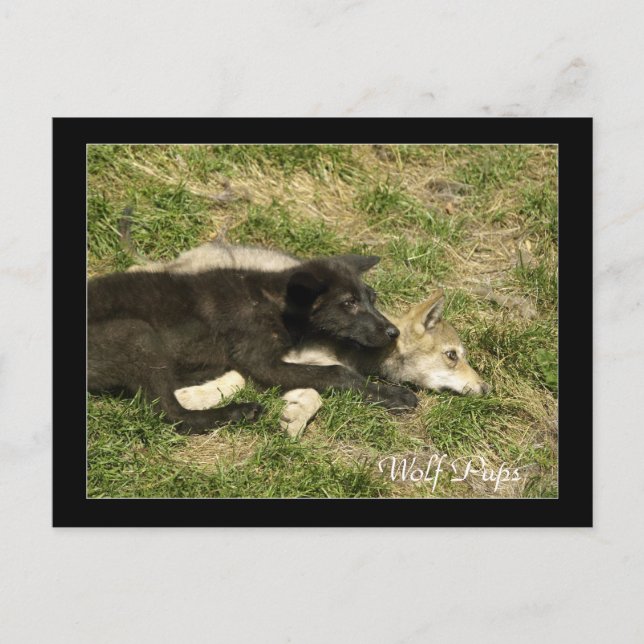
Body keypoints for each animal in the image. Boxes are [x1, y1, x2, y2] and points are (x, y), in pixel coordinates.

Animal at [89, 254, 417, 434]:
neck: (271, 301)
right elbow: (337, 372)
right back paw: (236, 412)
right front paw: (394, 395)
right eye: (349, 303)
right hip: (136, 333)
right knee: (171, 415)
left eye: (371, 299)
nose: (394, 332)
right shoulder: (262, 362)